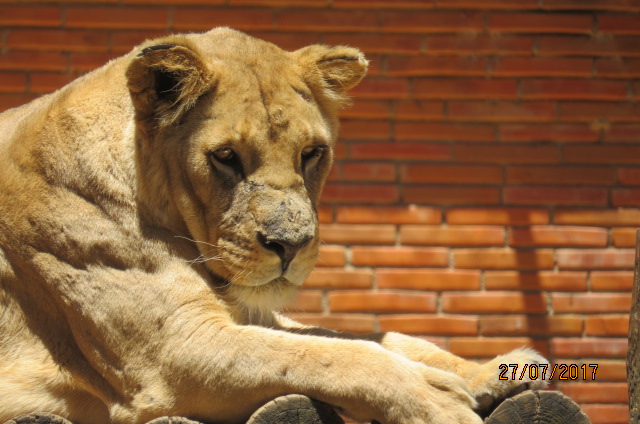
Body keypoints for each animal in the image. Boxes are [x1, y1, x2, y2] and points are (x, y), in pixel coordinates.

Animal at [0, 27, 547, 424]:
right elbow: (326, 356)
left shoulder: (246, 315)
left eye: (312, 153)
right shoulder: (171, 354)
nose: (291, 245)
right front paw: (438, 399)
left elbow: (366, 337)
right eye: (225, 157)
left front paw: (492, 369)